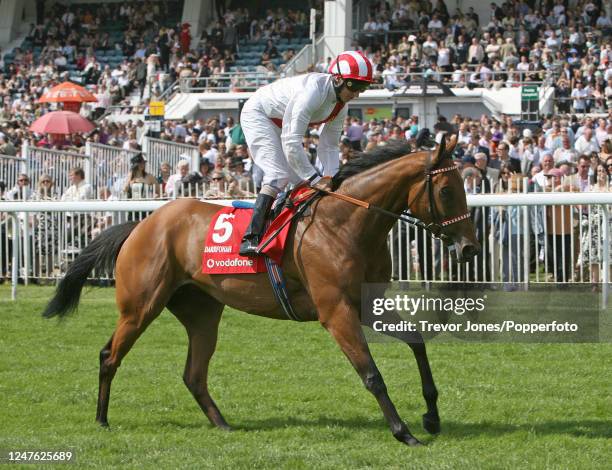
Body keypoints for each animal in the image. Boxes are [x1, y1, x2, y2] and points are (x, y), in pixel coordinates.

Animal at [45, 134, 480, 446]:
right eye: (446, 191)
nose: (469, 248)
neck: (344, 222)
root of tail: (141, 224)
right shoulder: (335, 310)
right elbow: (371, 374)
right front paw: (404, 432)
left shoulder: (365, 303)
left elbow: (417, 341)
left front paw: (431, 416)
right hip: (140, 307)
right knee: (110, 355)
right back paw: (102, 419)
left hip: (202, 313)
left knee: (193, 374)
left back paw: (223, 424)